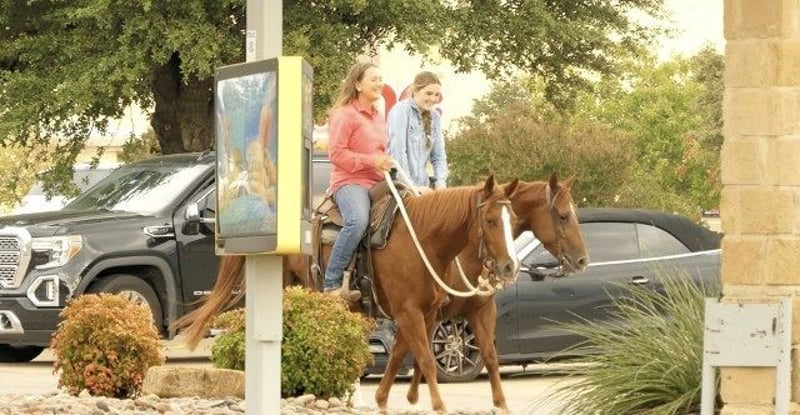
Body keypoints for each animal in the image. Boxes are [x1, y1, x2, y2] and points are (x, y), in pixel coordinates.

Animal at [175, 175, 521, 413]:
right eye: (491, 220)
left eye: (513, 220)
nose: (510, 266)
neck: (421, 238)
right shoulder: (409, 310)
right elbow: (425, 357)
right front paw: (437, 405)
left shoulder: (427, 310)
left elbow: (403, 353)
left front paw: (385, 399)